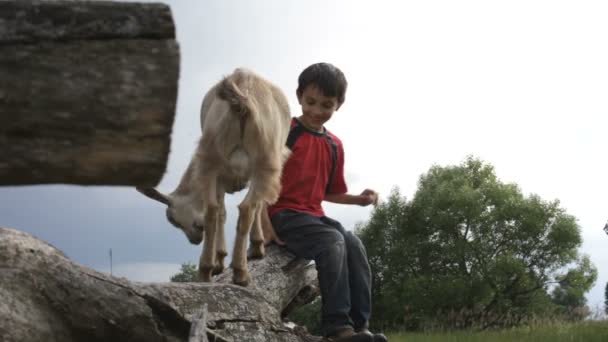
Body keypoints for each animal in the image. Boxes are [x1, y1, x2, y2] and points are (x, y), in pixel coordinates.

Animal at [138, 67, 290, 286]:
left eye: (171, 219)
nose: (194, 239)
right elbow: (255, 207)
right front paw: (256, 246)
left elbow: (223, 213)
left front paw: (220, 260)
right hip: (264, 161)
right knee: (245, 209)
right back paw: (239, 272)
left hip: (213, 158)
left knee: (213, 211)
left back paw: (205, 271)